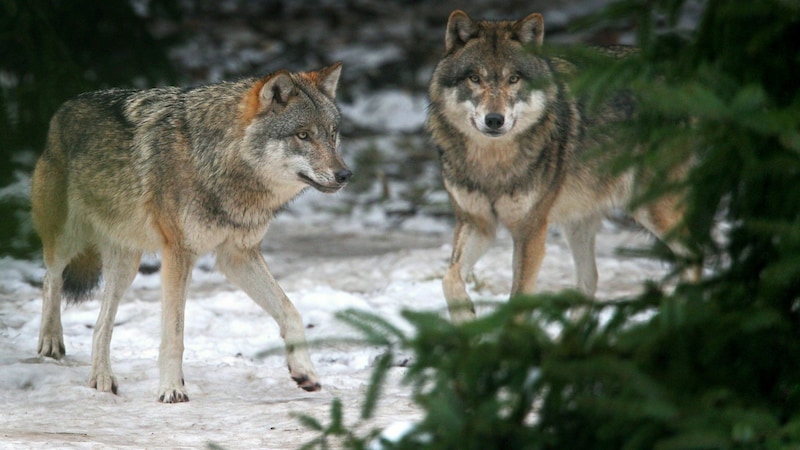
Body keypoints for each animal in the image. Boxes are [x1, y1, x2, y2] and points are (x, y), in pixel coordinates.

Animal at [31, 62, 350, 400]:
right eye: (303, 135)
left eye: (332, 134)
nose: (345, 174)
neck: (218, 162)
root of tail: (62, 109)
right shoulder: (179, 254)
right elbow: (174, 334)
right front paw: (171, 389)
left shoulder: (237, 256)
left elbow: (291, 312)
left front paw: (305, 371)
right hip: (67, 241)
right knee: (51, 278)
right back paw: (51, 341)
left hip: (125, 267)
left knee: (101, 325)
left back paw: (101, 378)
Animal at [428, 8, 692, 322]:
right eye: (474, 78)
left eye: (514, 79)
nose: (494, 120)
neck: (492, 164)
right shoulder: (476, 222)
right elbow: (449, 278)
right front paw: (466, 319)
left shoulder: (530, 231)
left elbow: (519, 300)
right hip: (578, 223)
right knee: (590, 280)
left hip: (652, 209)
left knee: (697, 257)